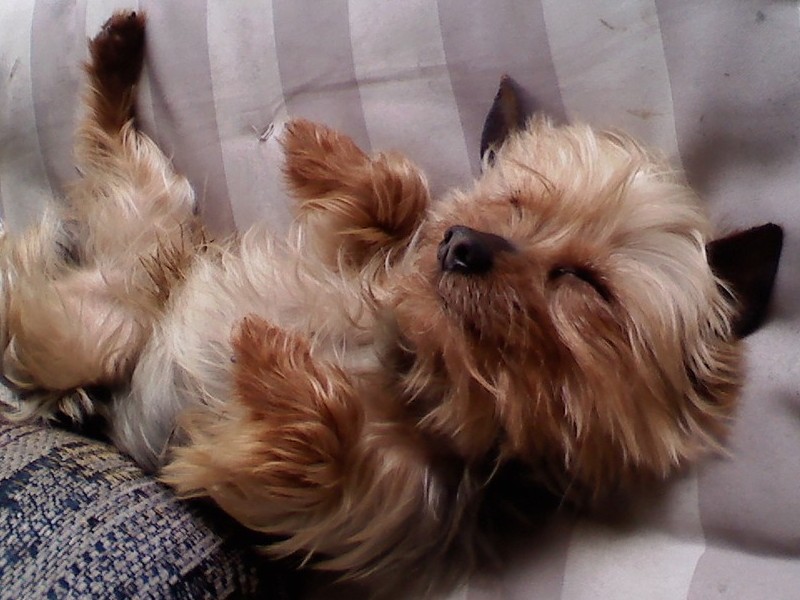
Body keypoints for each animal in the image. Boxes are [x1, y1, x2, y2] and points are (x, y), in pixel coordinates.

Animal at [0, 11, 784, 592]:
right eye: (509, 205)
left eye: (585, 284)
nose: (463, 245)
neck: (407, 370)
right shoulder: (349, 260)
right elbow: (394, 198)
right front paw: (320, 152)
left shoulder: (336, 502)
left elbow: (314, 443)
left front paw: (266, 352)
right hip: (141, 259)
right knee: (109, 153)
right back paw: (119, 48)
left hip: (107, 306)